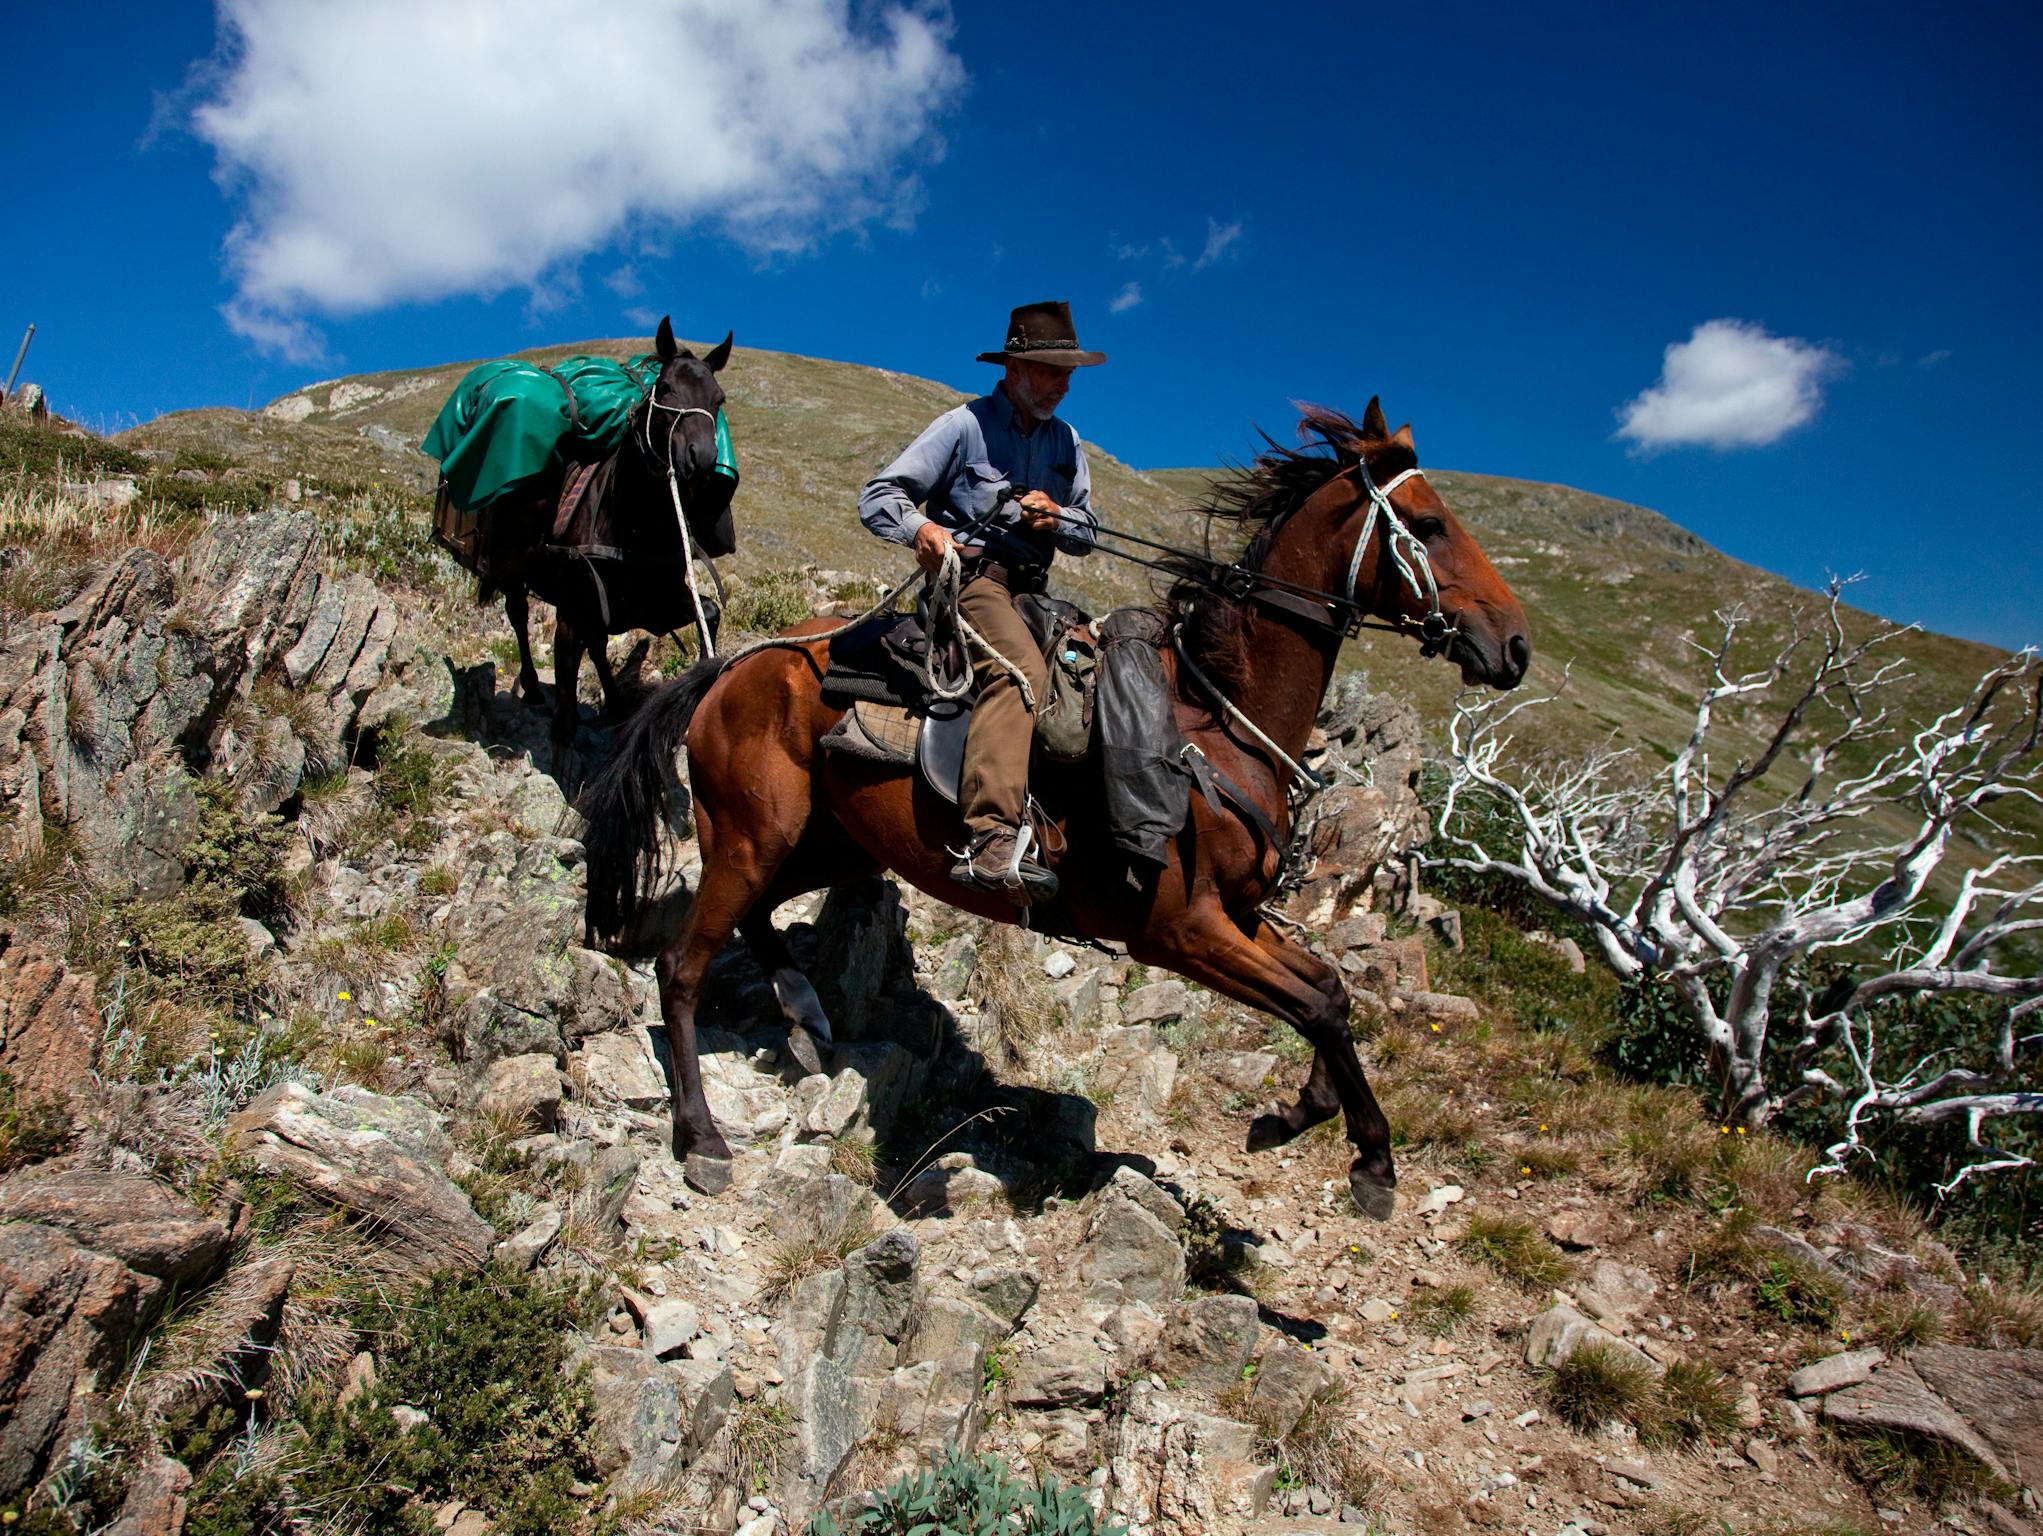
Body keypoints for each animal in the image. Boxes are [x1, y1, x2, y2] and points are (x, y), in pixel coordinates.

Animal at [469, 318, 735, 768]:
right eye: (665, 388)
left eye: (718, 398)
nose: (699, 459)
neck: (632, 527)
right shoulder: (571, 615)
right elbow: (564, 717)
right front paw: (560, 772)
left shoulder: (656, 603)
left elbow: (710, 615)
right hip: (513, 572)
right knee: (519, 616)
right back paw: (532, 686)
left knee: (596, 646)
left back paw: (615, 705)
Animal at [576, 402, 1536, 1217]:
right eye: (1433, 525)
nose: (1515, 645)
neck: (1213, 720)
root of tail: (738, 663)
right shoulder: (1179, 931)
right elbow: (1318, 1006)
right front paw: (1369, 1161)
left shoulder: (1235, 916)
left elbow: (1328, 988)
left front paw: (1297, 1117)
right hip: (753, 835)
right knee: (682, 966)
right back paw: (703, 1139)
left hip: (831, 843)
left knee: (759, 917)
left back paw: (806, 1020)